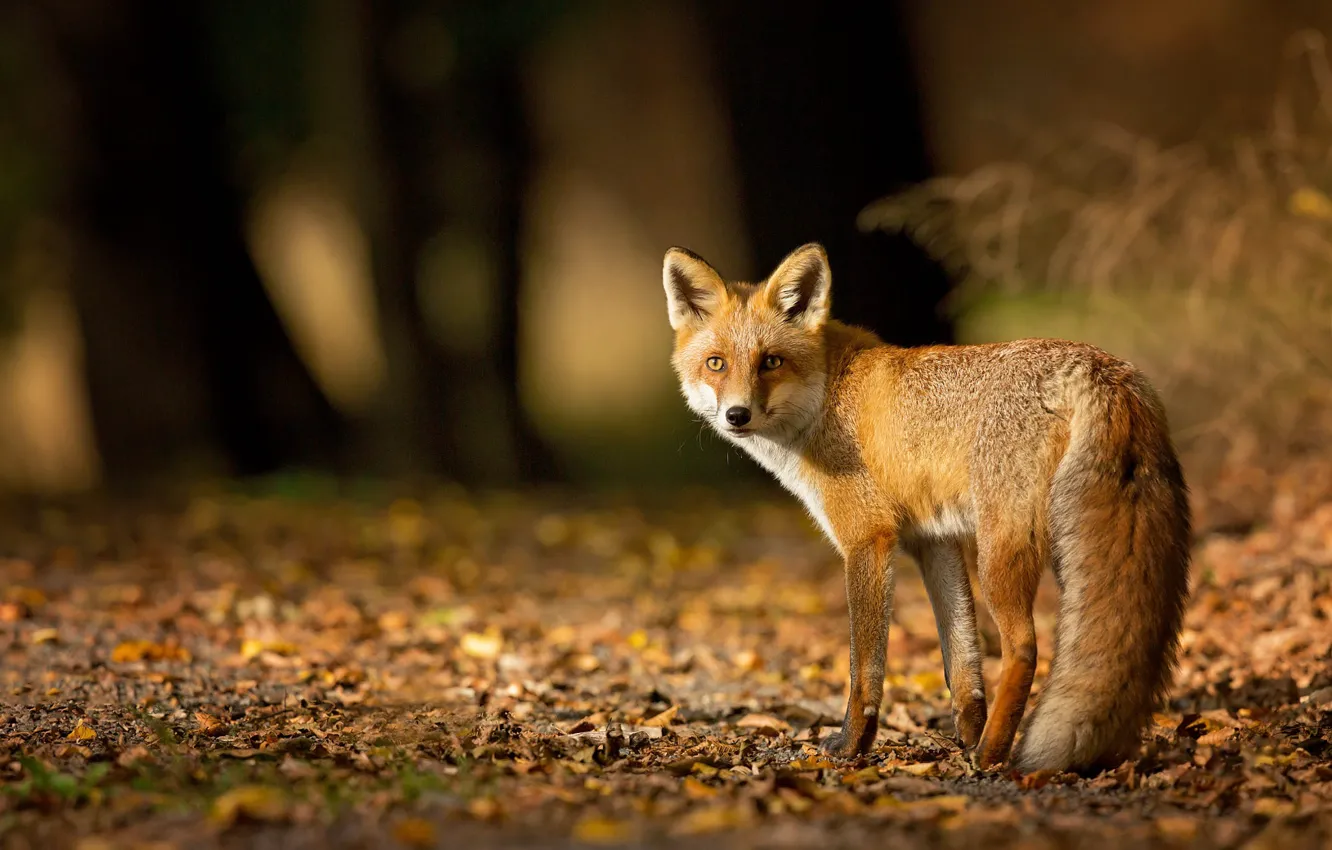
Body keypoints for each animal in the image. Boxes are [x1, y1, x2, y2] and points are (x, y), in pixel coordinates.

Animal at [660, 241, 1193, 778]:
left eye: (771, 361)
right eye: (716, 363)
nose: (737, 415)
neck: (828, 396)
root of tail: (1100, 367)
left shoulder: (869, 538)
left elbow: (864, 668)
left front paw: (852, 745)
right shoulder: (934, 540)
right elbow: (961, 660)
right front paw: (964, 732)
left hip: (1003, 552)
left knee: (1024, 648)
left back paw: (992, 754)